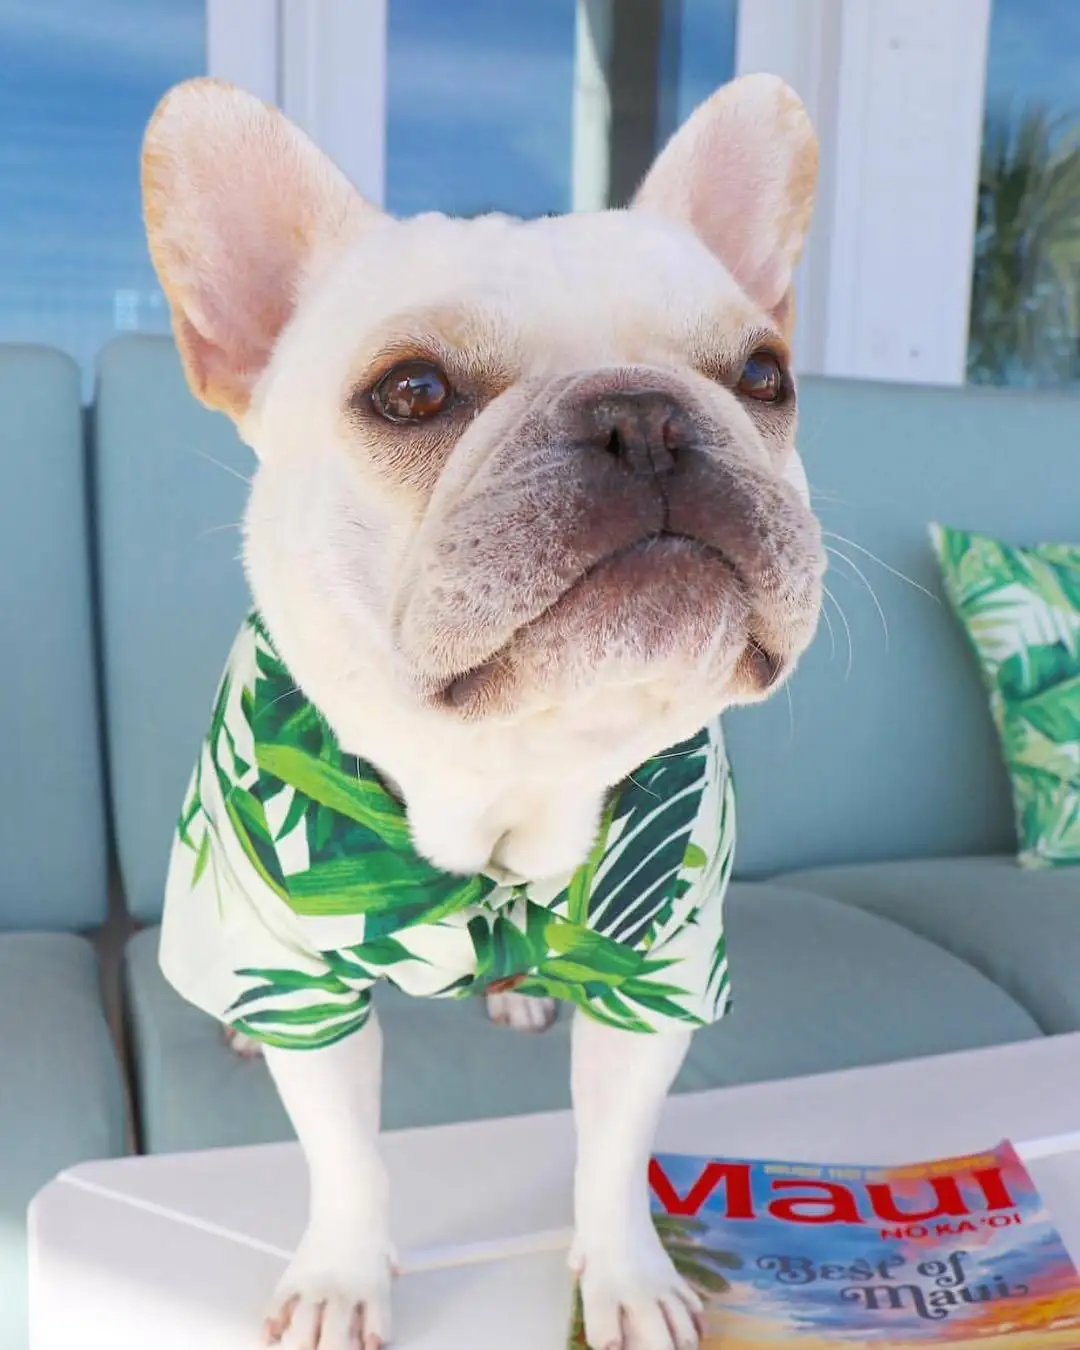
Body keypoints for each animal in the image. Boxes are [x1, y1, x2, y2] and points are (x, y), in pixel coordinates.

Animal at [142, 72, 823, 1350]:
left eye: (766, 376)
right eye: (411, 392)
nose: (647, 417)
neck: (511, 766)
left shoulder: (656, 973)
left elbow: (612, 1154)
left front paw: (628, 1279)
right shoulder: (303, 981)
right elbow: (345, 1158)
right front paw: (342, 1278)